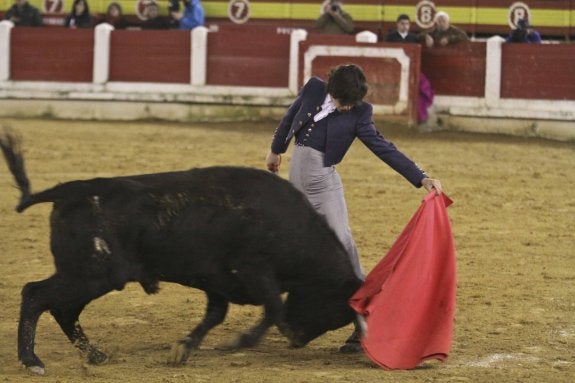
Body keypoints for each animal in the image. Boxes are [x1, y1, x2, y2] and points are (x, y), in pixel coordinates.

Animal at [0, 132, 360, 376]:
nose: (296, 338)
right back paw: (32, 361)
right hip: (90, 274)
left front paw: (182, 350)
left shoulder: (217, 283)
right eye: (333, 306)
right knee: (36, 295)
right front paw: (238, 342)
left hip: (91, 277)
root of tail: (68, 191)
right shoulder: (253, 270)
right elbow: (272, 307)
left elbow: (216, 315)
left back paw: (95, 356)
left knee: (64, 310)